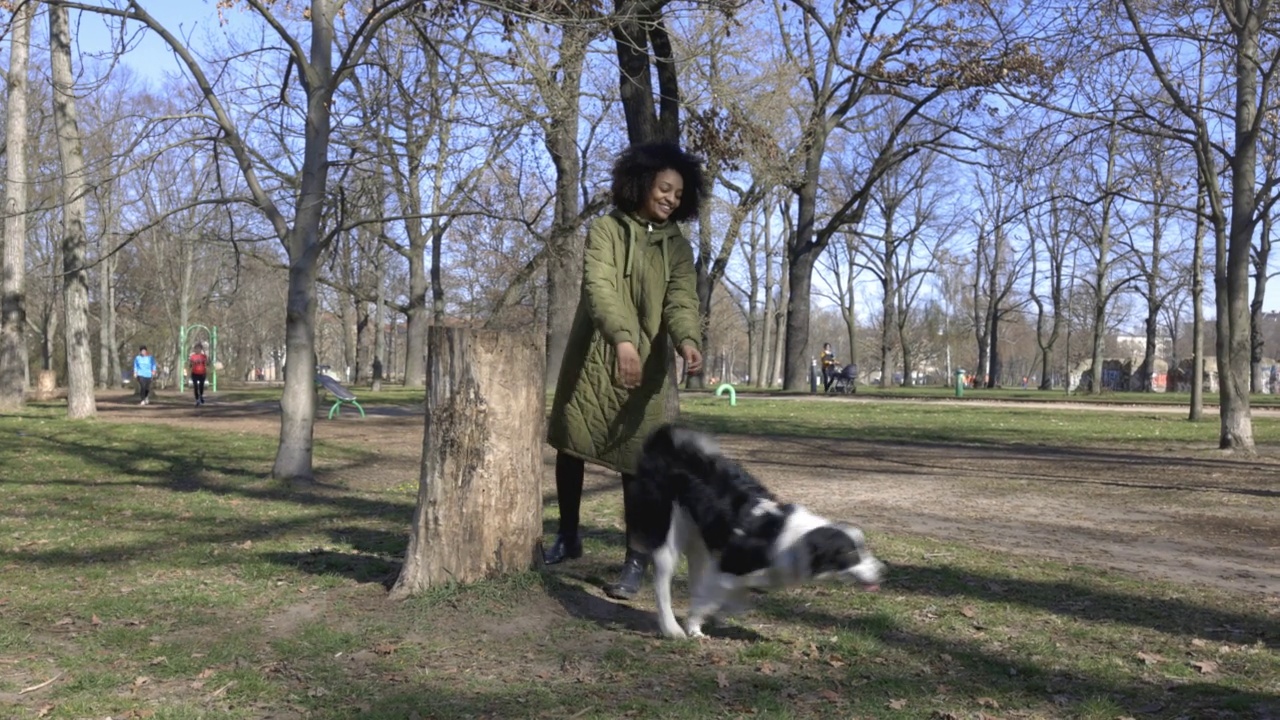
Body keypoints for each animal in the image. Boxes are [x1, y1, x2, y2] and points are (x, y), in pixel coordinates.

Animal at [624, 422, 885, 635]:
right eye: (851, 553)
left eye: (863, 548)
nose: (883, 572)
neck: (792, 541)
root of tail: (663, 446)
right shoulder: (728, 566)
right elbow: (710, 599)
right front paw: (695, 624)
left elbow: (729, 598)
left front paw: (718, 615)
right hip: (666, 529)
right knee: (662, 579)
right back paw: (672, 628)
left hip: (699, 537)